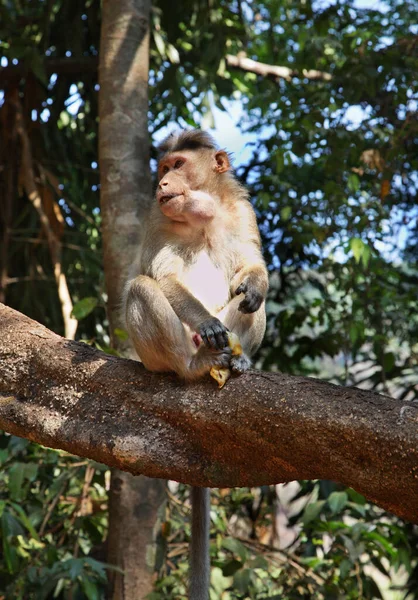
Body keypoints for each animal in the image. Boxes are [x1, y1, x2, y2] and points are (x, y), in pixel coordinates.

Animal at [122, 129, 270, 596]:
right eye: (163, 168)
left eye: (178, 165)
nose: (162, 184)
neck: (202, 215)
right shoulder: (157, 218)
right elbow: (164, 278)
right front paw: (205, 322)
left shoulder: (242, 212)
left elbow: (251, 268)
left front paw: (254, 283)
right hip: (161, 354)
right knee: (142, 287)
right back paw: (198, 362)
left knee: (251, 302)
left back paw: (238, 362)